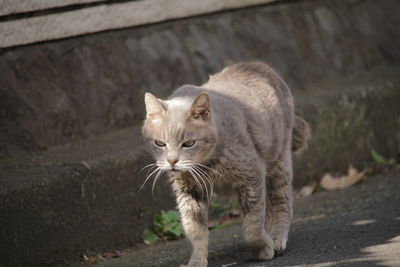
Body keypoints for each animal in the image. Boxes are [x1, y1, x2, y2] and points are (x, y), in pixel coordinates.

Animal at [142, 61, 310, 266]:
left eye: (189, 143)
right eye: (160, 143)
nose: (172, 161)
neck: (206, 166)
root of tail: (257, 65)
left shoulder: (251, 174)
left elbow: (253, 225)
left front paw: (263, 248)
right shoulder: (189, 191)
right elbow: (194, 229)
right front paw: (197, 260)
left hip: (279, 161)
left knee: (281, 202)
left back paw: (276, 238)